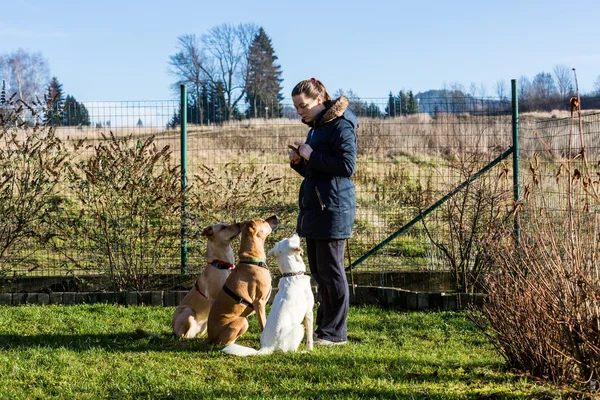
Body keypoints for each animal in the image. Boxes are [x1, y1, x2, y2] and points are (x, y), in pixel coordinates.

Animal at [206, 214, 278, 346]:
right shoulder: (259, 302)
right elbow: (263, 325)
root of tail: (210, 337)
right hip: (242, 320)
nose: (274, 216)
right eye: (263, 221)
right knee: (223, 342)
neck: (252, 259)